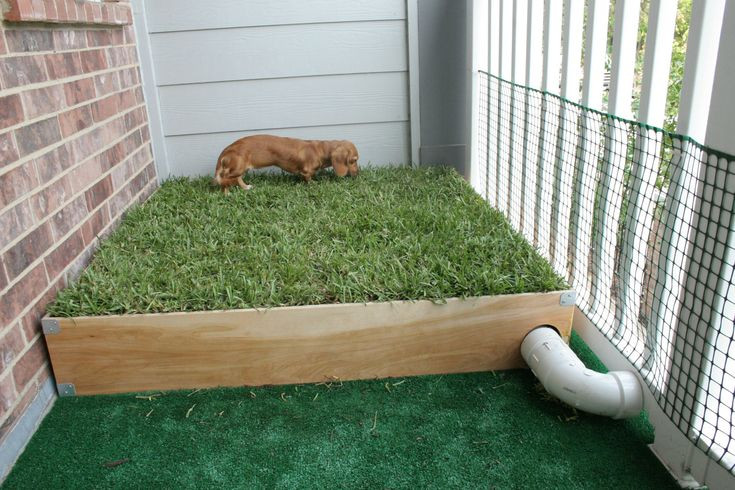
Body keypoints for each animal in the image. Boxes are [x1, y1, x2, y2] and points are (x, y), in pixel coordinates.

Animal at [214, 136, 360, 195]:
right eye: (353, 160)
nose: (357, 175)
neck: (320, 150)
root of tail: (227, 150)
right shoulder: (306, 171)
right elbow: (309, 179)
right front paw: (314, 184)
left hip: (241, 168)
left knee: (237, 178)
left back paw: (245, 187)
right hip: (237, 168)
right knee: (224, 178)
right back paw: (226, 193)